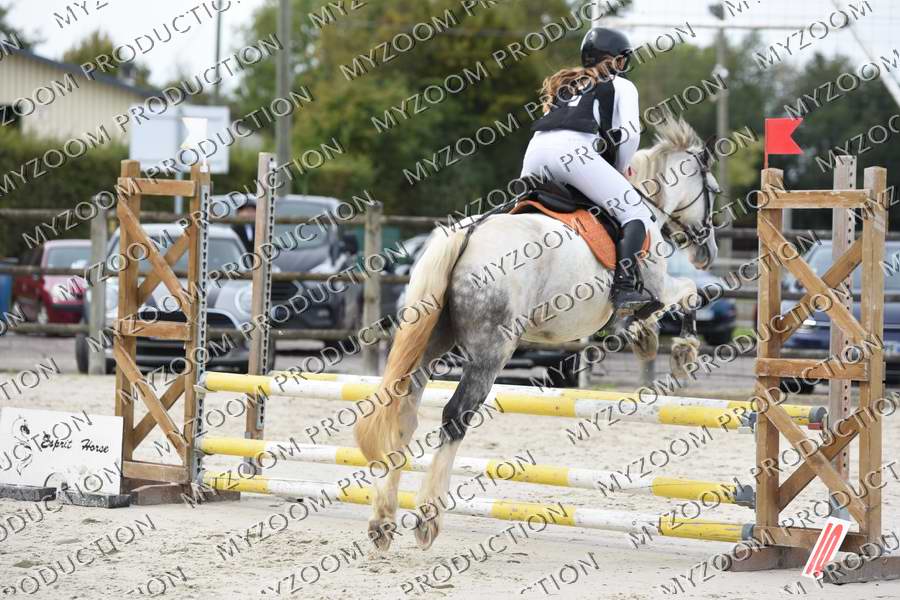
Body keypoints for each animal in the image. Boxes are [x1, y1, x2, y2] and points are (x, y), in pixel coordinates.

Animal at [354, 117, 721, 551]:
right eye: (713, 191)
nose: (707, 253)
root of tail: (469, 234)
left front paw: (646, 336)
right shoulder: (658, 286)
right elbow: (690, 293)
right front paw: (682, 350)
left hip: (431, 342)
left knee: (403, 411)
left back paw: (383, 519)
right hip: (491, 351)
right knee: (456, 416)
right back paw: (428, 519)